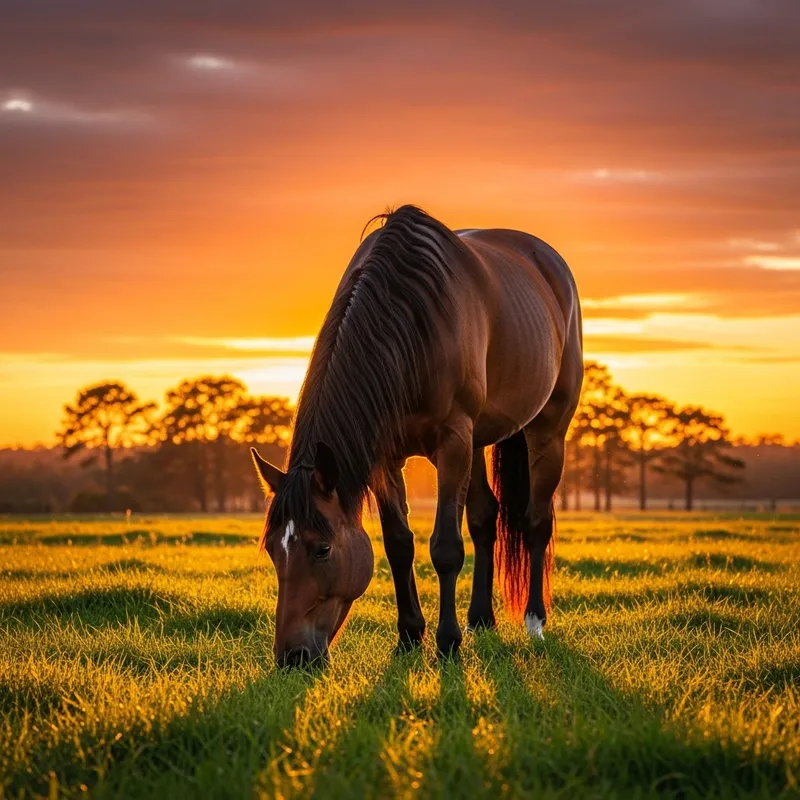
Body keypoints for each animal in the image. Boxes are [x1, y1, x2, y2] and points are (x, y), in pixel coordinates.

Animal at [252, 205, 583, 667]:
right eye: (272, 549)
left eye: (322, 549)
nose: (292, 658)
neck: (410, 320)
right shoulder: (385, 457)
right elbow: (398, 544)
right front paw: (409, 635)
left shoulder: (453, 441)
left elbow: (445, 548)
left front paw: (447, 642)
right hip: (478, 441)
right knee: (485, 518)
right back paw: (482, 618)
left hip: (546, 431)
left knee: (536, 521)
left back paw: (534, 621)